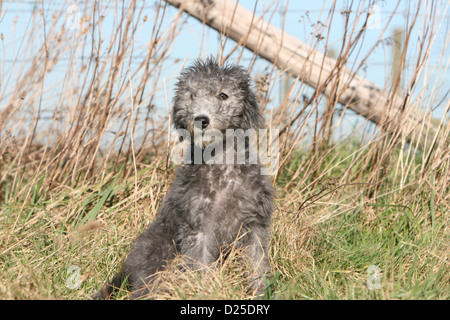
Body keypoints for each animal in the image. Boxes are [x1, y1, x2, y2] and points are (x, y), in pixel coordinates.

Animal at [95, 58, 274, 300]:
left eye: (223, 95)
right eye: (192, 95)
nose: (201, 119)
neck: (222, 168)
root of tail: (127, 269)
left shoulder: (255, 224)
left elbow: (257, 263)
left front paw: (261, 292)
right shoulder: (198, 228)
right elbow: (201, 265)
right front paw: (205, 291)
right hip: (160, 248)